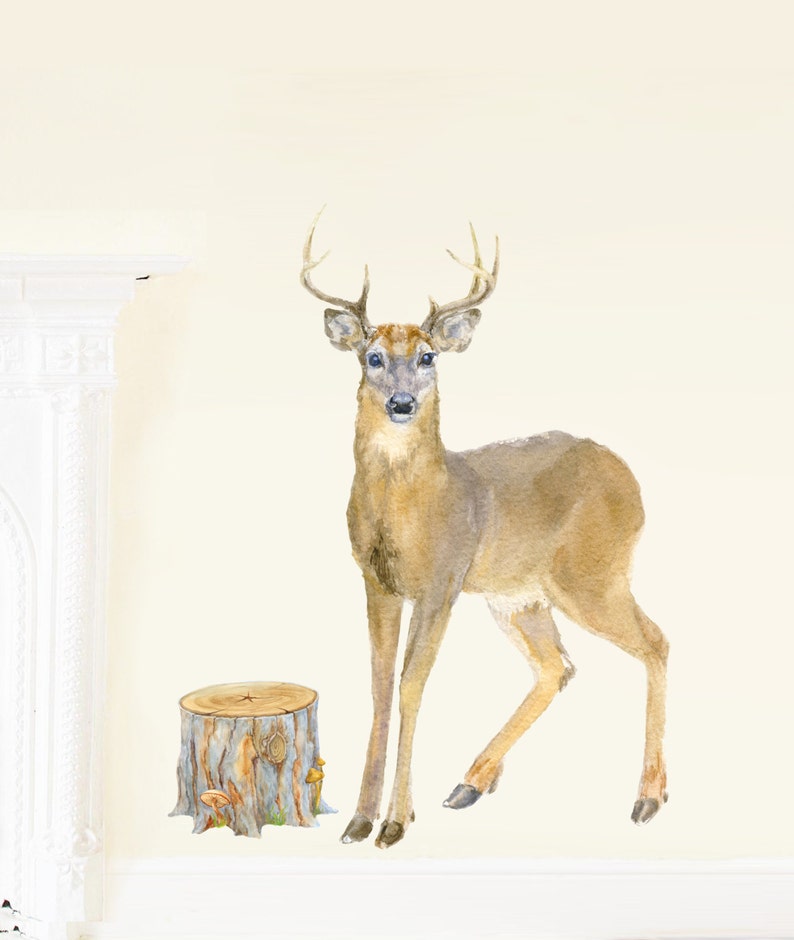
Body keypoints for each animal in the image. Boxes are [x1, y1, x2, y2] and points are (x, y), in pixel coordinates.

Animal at [300, 211, 669, 848]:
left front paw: (393, 822)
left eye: (428, 357)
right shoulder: (376, 582)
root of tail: (631, 479)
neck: (412, 510)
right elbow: (379, 686)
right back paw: (468, 783)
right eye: (372, 356)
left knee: (655, 642)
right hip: (521, 597)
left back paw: (648, 798)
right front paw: (359, 819)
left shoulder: (441, 582)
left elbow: (411, 684)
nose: (401, 403)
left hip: (592, 574)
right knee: (557, 667)